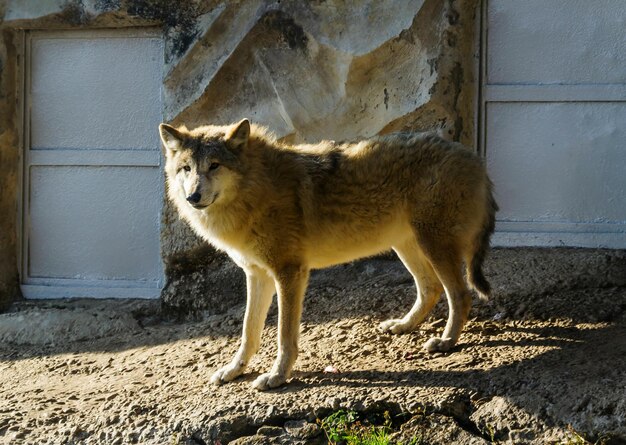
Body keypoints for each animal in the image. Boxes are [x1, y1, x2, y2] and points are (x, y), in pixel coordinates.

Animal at [158, 119, 494, 390]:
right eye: (186, 169)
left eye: (214, 165)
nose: (193, 197)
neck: (256, 190)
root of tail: (474, 157)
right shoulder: (257, 275)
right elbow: (248, 333)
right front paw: (233, 370)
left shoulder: (290, 272)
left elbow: (284, 336)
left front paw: (277, 377)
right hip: (407, 247)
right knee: (431, 288)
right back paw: (403, 325)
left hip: (432, 245)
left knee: (460, 294)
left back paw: (446, 342)